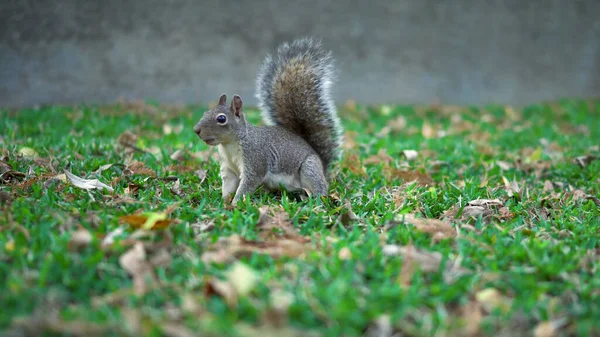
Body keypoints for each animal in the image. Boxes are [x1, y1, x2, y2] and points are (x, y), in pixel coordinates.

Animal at [192, 37, 342, 205]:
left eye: (221, 119)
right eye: (205, 112)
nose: (196, 130)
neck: (230, 145)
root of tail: (322, 164)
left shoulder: (255, 159)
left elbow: (248, 183)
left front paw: (236, 203)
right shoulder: (229, 168)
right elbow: (229, 184)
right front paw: (224, 202)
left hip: (309, 168)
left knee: (320, 187)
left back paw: (317, 199)